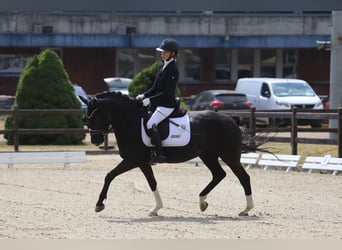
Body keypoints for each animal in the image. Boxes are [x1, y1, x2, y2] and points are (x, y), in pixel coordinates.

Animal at [81, 92, 255, 217]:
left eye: (95, 115)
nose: (95, 140)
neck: (130, 122)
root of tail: (231, 120)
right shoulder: (142, 162)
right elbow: (152, 183)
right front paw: (156, 209)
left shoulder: (132, 160)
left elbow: (109, 176)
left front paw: (99, 204)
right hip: (208, 155)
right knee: (219, 174)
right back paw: (202, 202)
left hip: (229, 156)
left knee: (244, 178)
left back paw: (246, 209)